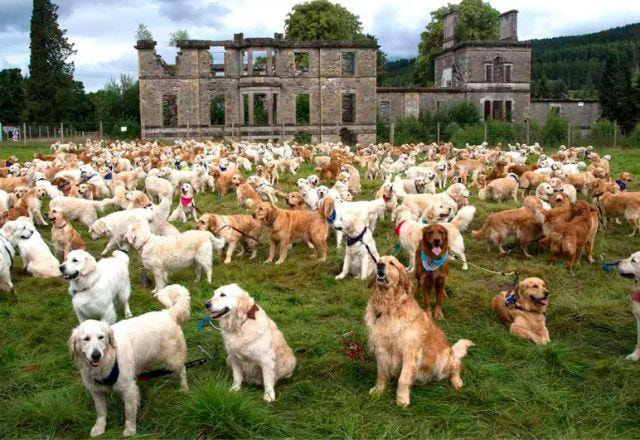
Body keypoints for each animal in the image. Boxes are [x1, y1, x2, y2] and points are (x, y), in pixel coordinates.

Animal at [70, 286, 191, 436]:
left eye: (101, 337)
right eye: (85, 339)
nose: (96, 355)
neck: (108, 362)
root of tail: (168, 313)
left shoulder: (128, 389)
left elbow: (129, 412)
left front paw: (130, 430)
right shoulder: (96, 390)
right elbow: (101, 412)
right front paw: (99, 427)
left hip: (173, 358)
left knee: (183, 371)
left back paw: (184, 388)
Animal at [364, 256, 476, 408]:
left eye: (392, 263)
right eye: (378, 261)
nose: (380, 265)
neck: (388, 306)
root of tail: (451, 351)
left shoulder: (409, 352)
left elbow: (403, 378)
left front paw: (402, 399)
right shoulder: (381, 348)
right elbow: (381, 373)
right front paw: (378, 390)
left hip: (443, 360)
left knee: (456, 365)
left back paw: (456, 381)